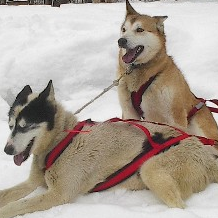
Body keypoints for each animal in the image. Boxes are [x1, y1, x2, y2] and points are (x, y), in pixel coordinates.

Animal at [0, 81, 218, 217]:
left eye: (25, 126)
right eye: (10, 125)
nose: (7, 150)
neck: (62, 140)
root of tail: (205, 154)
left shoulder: (58, 195)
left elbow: (16, 205)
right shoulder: (32, 182)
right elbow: (6, 195)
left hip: (151, 169)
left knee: (180, 207)